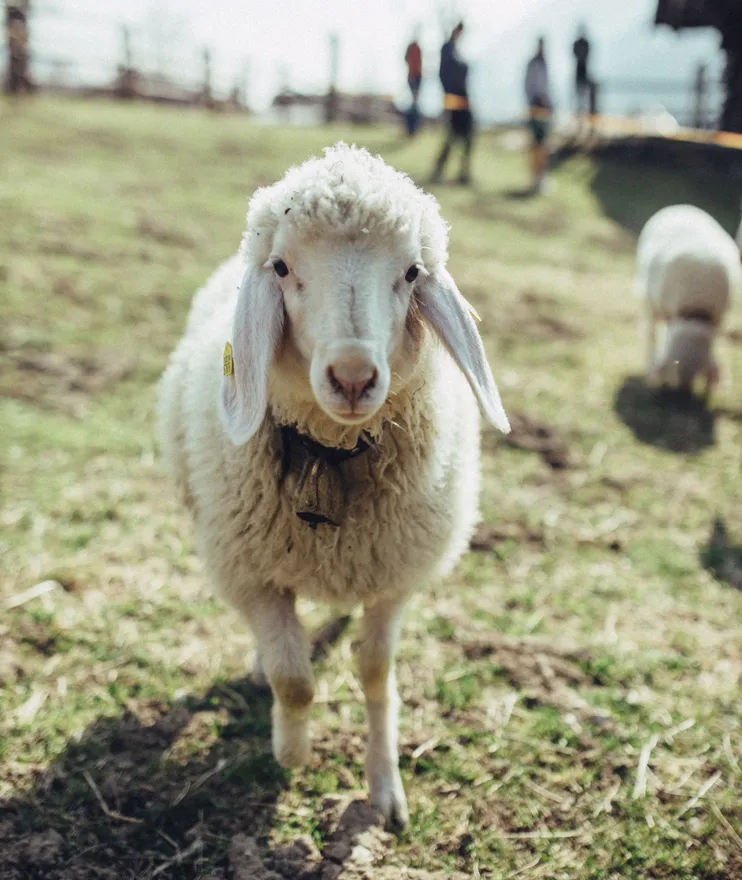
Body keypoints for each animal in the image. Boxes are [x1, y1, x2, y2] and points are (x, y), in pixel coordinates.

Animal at [157, 143, 510, 828]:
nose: (352, 377)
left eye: (411, 273)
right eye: (282, 266)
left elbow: (376, 674)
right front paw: (291, 752)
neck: (332, 453)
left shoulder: (394, 578)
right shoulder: (251, 575)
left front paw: (384, 788)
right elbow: (294, 681)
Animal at [634, 204, 740, 397]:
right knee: (651, 331)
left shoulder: (720, 319)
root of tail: (680, 206)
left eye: (699, 371)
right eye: (674, 368)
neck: (696, 307)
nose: (683, 393)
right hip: (647, 295)